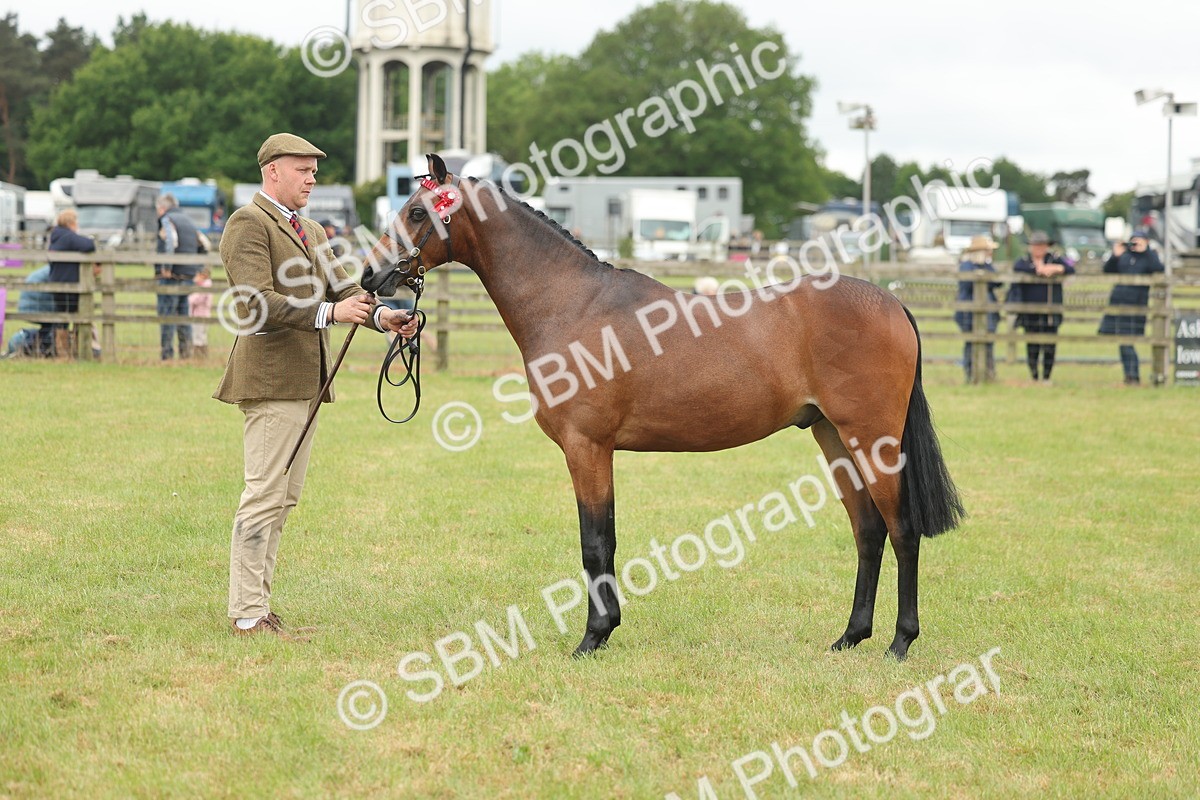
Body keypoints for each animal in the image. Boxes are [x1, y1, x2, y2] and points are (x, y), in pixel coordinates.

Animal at [361, 154, 964, 661]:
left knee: (902, 530)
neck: (573, 304)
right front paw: (605, 630)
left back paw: (900, 643)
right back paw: (850, 637)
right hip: (834, 437)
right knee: (868, 531)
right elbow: (605, 539)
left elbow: (594, 542)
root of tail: (891, 302)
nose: (369, 276)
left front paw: (591, 638)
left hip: (873, 438)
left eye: (417, 211)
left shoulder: (586, 447)